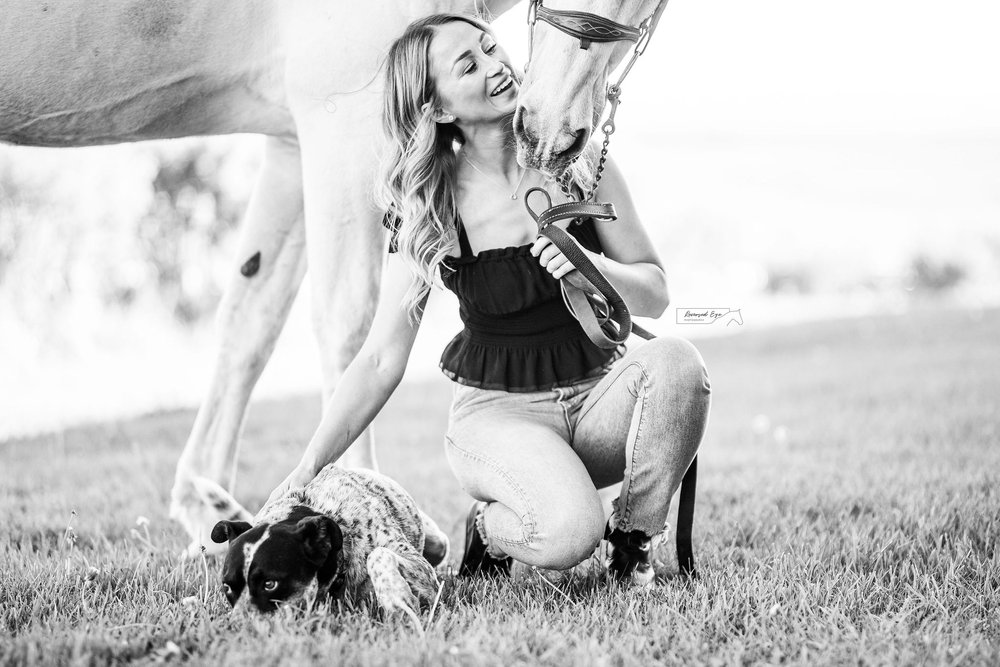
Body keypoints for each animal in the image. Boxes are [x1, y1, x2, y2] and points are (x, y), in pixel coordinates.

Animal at [205, 464, 448, 620]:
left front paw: (396, 597)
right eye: (227, 587)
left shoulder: (422, 571)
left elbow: (378, 555)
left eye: (270, 584)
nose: (238, 626)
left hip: (438, 545)